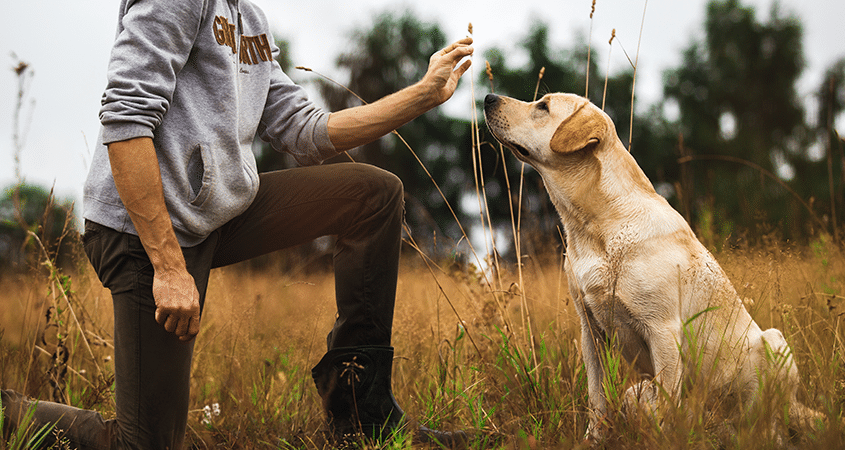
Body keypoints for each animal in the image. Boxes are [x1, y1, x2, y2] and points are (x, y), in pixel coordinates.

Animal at [484, 94, 808, 436]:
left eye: (543, 106)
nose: (489, 98)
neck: (596, 226)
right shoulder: (591, 331)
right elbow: (596, 397)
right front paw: (593, 438)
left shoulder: (662, 329)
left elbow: (666, 404)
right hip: (636, 391)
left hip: (774, 342)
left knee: (769, 422)